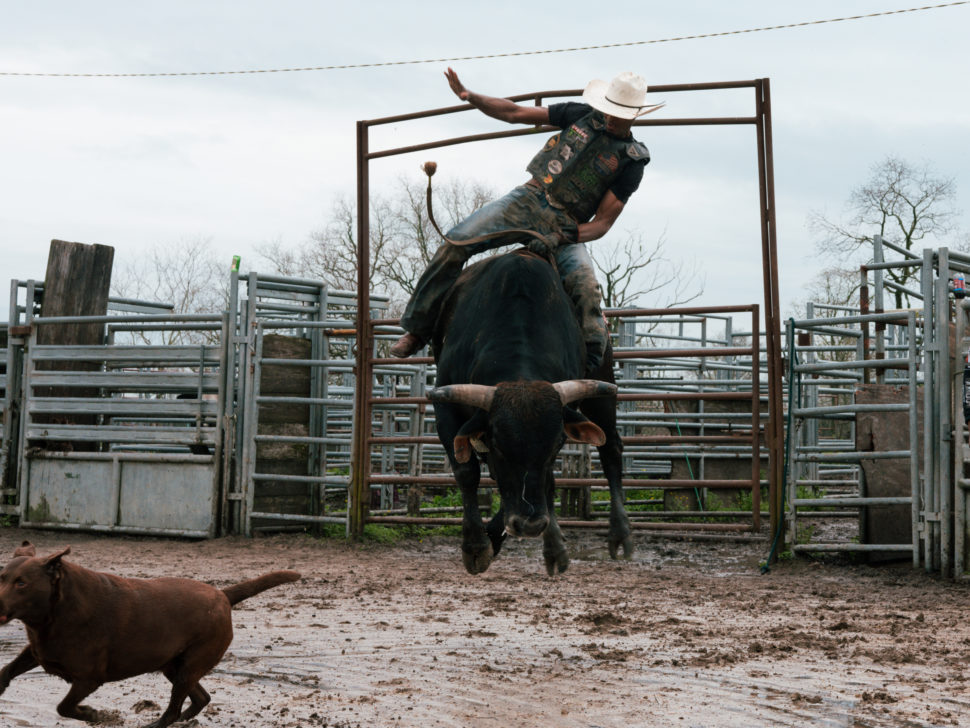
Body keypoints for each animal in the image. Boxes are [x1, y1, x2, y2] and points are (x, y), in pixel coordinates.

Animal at [0, 540, 298, 728]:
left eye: (22, 583)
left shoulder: (89, 678)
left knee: (174, 709)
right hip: (174, 666)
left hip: (192, 664)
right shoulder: (37, 651)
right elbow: (8, 669)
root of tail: (223, 595)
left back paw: (157, 724)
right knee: (200, 698)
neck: (55, 612)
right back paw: (185, 720)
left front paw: (94, 714)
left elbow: (64, 706)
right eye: (2, 577)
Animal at [428, 250, 632, 576]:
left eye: (557, 446)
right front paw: (476, 546)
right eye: (498, 444)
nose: (530, 524)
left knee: (611, 449)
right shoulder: (446, 408)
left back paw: (619, 532)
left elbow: (545, 481)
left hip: (603, 385)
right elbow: (467, 472)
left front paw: (552, 546)